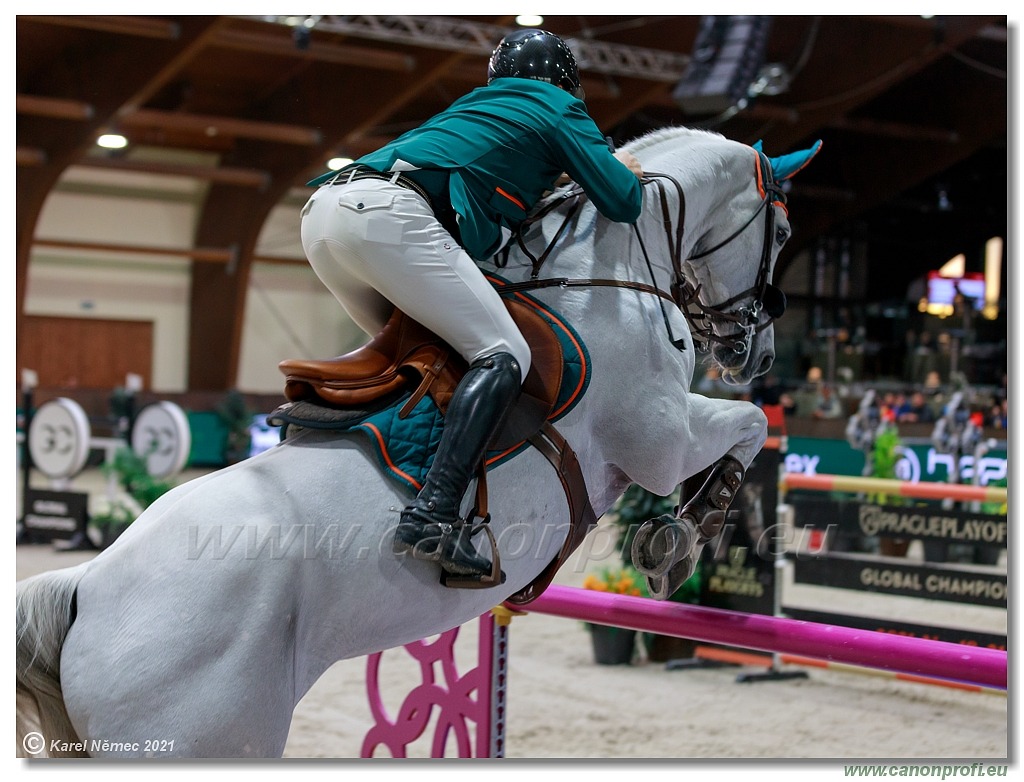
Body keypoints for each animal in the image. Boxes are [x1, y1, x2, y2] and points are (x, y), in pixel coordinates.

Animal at [16, 128, 819, 757]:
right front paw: (682, 535)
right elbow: (747, 426)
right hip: (211, 730)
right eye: (782, 236)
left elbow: (744, 426)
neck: (609, 277)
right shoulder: (659, 438)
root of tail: (85, 588)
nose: (754, 355)